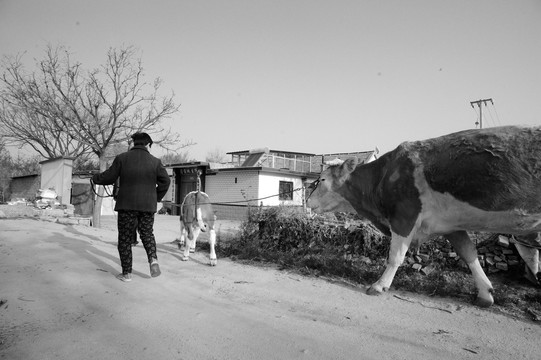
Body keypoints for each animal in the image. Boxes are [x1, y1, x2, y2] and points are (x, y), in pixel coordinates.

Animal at [306, 126, 536, 306]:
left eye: (322, 179)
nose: (307, 201)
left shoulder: (404, 216)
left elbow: (395, 256)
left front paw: (379, 285)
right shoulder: (452, 226)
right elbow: (469, 253)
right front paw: (485, 293)